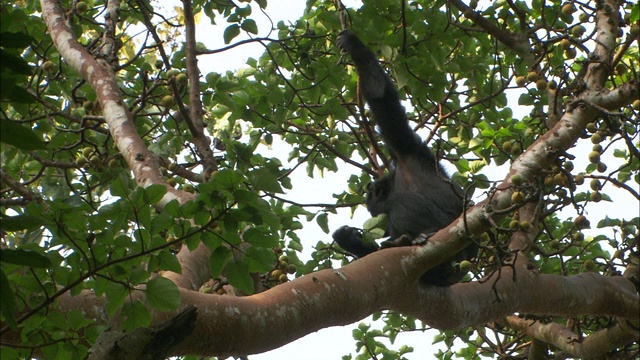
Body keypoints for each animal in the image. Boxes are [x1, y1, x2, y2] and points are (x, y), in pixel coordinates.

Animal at [336, 29, 476, 286]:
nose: (369, 189)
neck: (396, 180)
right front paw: (348, 238)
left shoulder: (406, 150)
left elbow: (382, 99)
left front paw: (354, 45)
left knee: (401, 202)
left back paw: (425, 232)